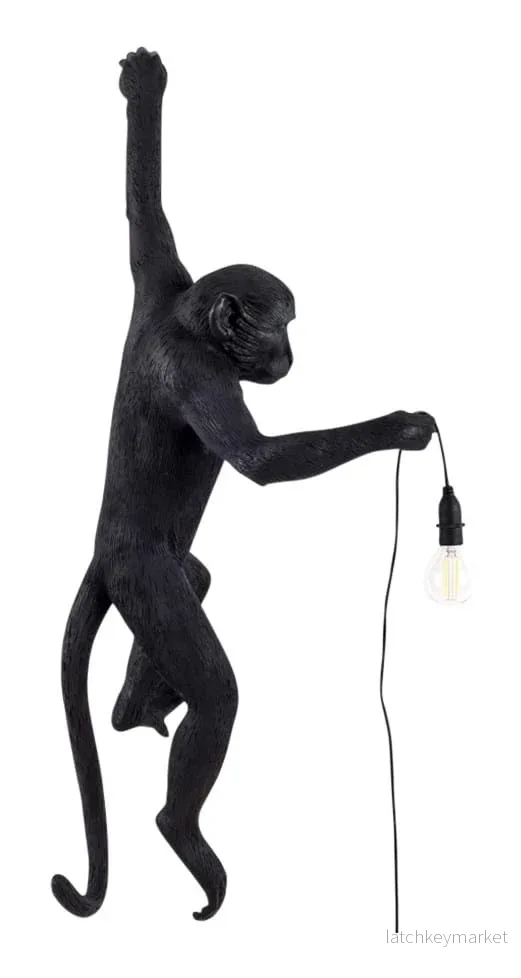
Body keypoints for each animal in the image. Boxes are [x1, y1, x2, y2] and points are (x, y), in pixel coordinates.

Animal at [51, 48, 435, 922]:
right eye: (281, 324)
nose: (291, 354)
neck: (181, 322)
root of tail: (101, 557)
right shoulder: (201, 374)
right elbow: (260, 459)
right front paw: (399, 426)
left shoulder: (159, 276)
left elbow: (144, 209)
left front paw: (143, 87)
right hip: (141, 575)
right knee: (214, 687)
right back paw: (182, 831)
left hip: (161, 572)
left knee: (196, 579)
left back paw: (133, 708)